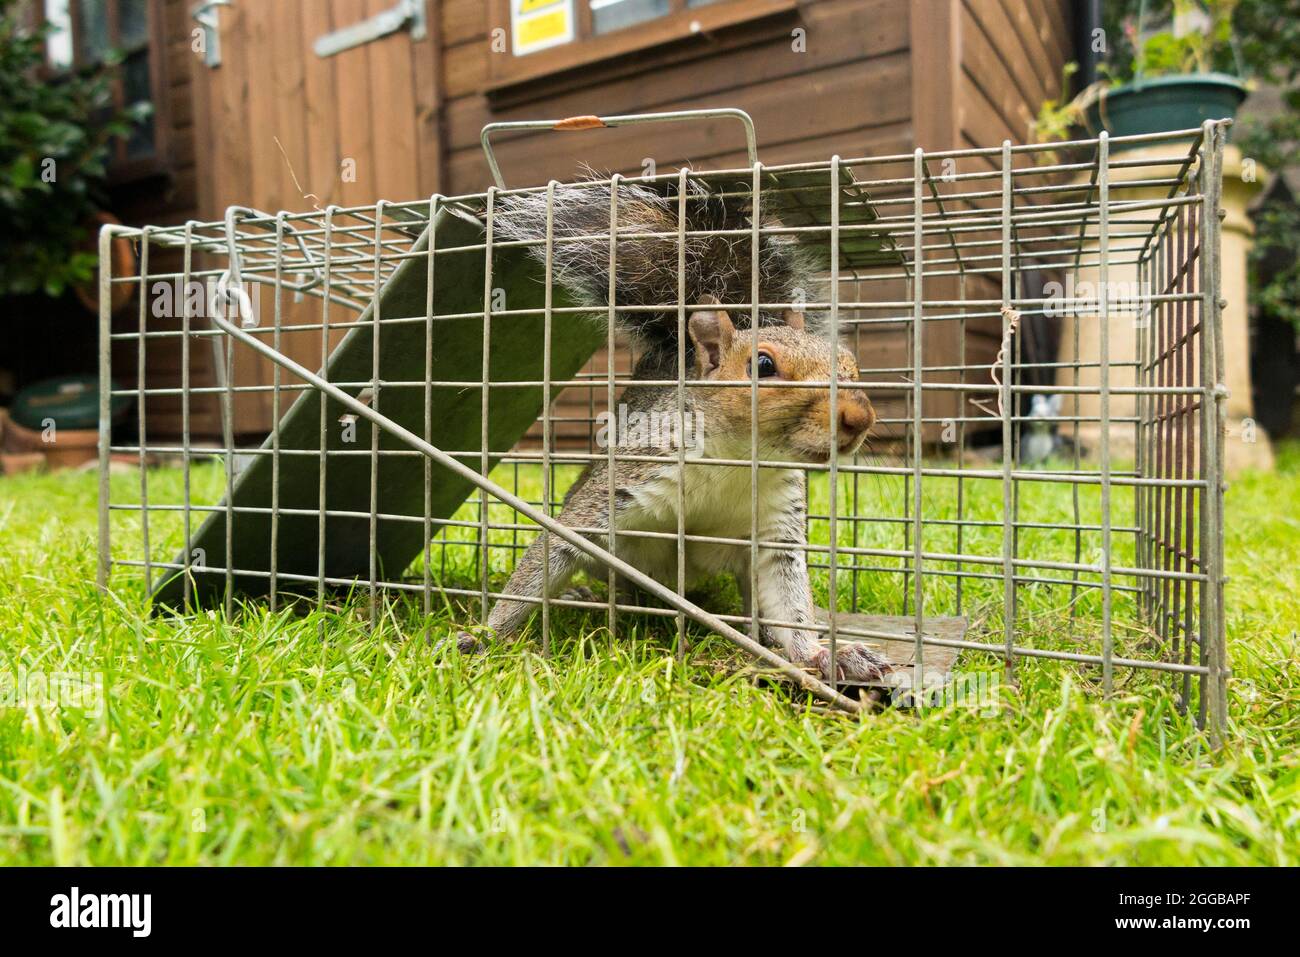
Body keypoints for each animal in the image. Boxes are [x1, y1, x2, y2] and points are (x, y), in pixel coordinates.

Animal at [460, 179, 894, 686]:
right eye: (763, 365)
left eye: (851, 365)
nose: (859, 418)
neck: (737, 461)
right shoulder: (627, 482)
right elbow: (545, 560)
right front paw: (482, 636)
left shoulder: (776, 528)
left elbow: (789, 602)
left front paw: (824, 654)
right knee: (613, 585)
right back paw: (587, 597)